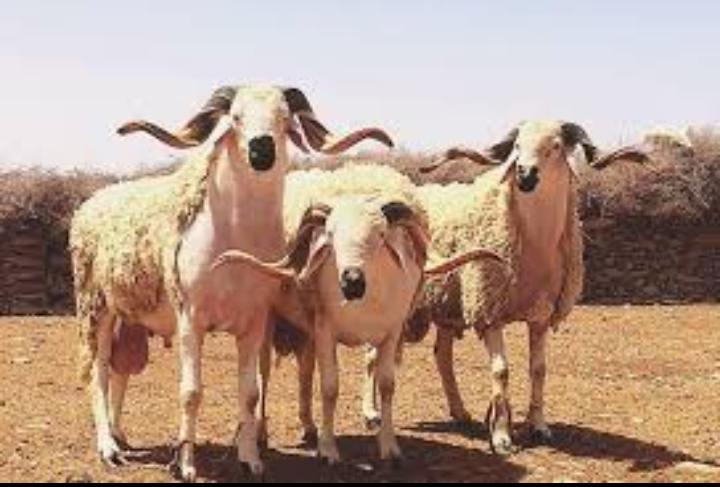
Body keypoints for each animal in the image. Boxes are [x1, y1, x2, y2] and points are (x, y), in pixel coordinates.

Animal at [70, 85, 394, 480]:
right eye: (236, 117)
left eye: (284, 118)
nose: (261, 150)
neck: (232, 241)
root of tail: (90, 204)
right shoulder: (190, 320)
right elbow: (191, 393)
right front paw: (186, 464)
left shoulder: (253, 322)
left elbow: (250, 393)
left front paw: (250, 459)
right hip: (95, 309)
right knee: (98, 373)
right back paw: (108, 448)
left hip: (128, 317)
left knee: (119, 373)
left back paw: (119, 434)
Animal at [212, 166, 500, 468]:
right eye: (329, 235)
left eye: (381, 234)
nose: (351, 281)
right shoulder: (326, 330)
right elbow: (329, 388)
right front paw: (329, 449)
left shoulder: (391, 332)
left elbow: (387, 385)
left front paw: (389, 447)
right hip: (269, 319)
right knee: (264, 374)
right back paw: (261, 433)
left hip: (307, 330)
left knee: (304, 372)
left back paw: (309, 427)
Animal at [366, 120, 648, 456]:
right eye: (516, 146)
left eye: (556, 146)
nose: (525, 174)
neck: (535, 245)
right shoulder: (490, 312)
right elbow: (501, 371)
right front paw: (501, 435)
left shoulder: (540, 316)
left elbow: (538, 369)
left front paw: (538, 426)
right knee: (371, 355)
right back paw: (370, 413)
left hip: (448, 304)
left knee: (442, 356)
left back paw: (459, 412)